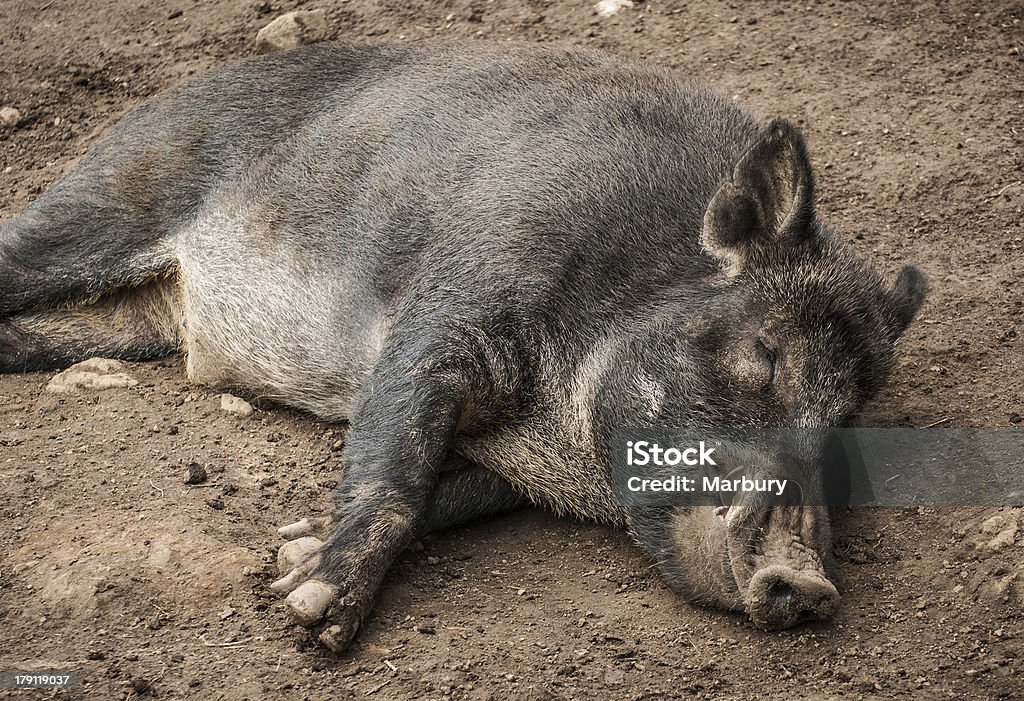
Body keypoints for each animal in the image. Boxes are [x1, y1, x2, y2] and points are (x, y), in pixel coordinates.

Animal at [0, 40, 929, 646]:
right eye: (765, 354)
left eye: (848, 415)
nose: (808, 585)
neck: (558, 436)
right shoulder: (447, 314)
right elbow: (398, 468)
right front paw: (309, 610)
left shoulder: (508, 466)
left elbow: (438, 493)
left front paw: (292, 546)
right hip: (120, 191)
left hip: (123, 321)